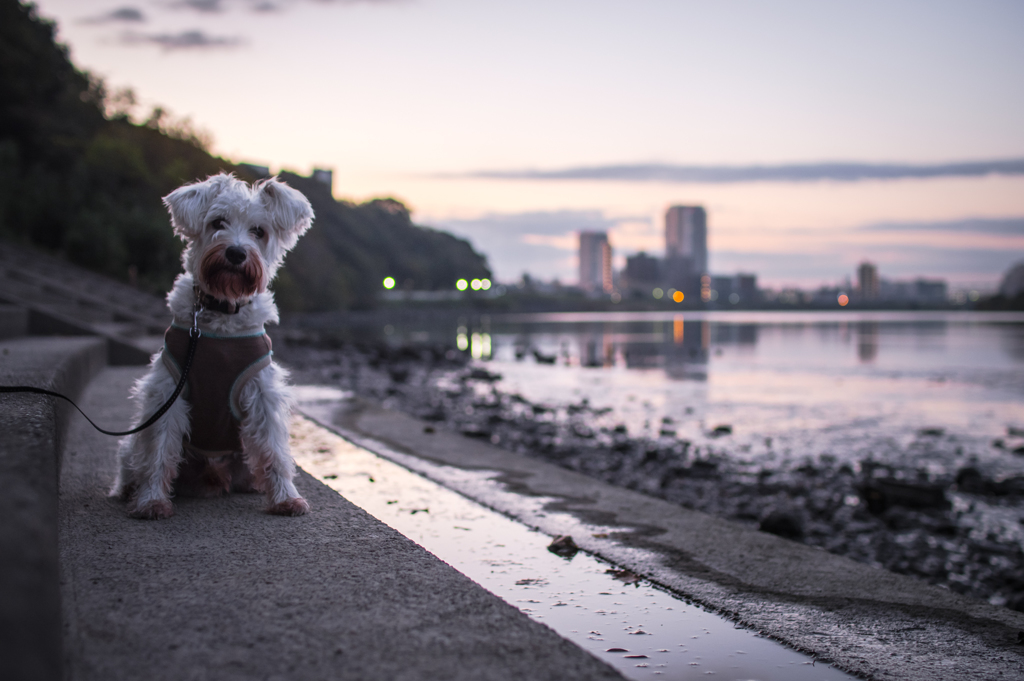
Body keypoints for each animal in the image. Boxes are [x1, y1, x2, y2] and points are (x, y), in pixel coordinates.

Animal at [112, 173, 311, 518]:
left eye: (259, 231)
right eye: (218, 222)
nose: (236, 253)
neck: (221, 314)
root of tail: (212, 475)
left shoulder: (262, 393)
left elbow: (273, 450)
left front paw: (286, 498)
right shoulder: (169, 391)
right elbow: (159, 450)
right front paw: (151, 500)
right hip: (133, 443)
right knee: (133, 460)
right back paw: (127, 489)